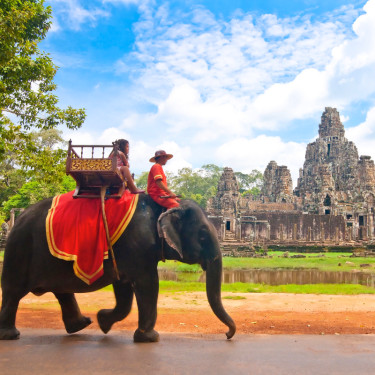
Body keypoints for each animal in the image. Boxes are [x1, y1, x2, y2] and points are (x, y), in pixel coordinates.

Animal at [0, 195, 235, 342]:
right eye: (203, 234)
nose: (227, 335)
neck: (163, 204)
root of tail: (18, 219)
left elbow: (124, 291)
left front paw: (103, 321)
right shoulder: (138, 246)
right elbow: (148, 284)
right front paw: (150, 338)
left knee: (61, 291)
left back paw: (81, 325)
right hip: (19, 250)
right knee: (13, 293)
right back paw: (11, 335)